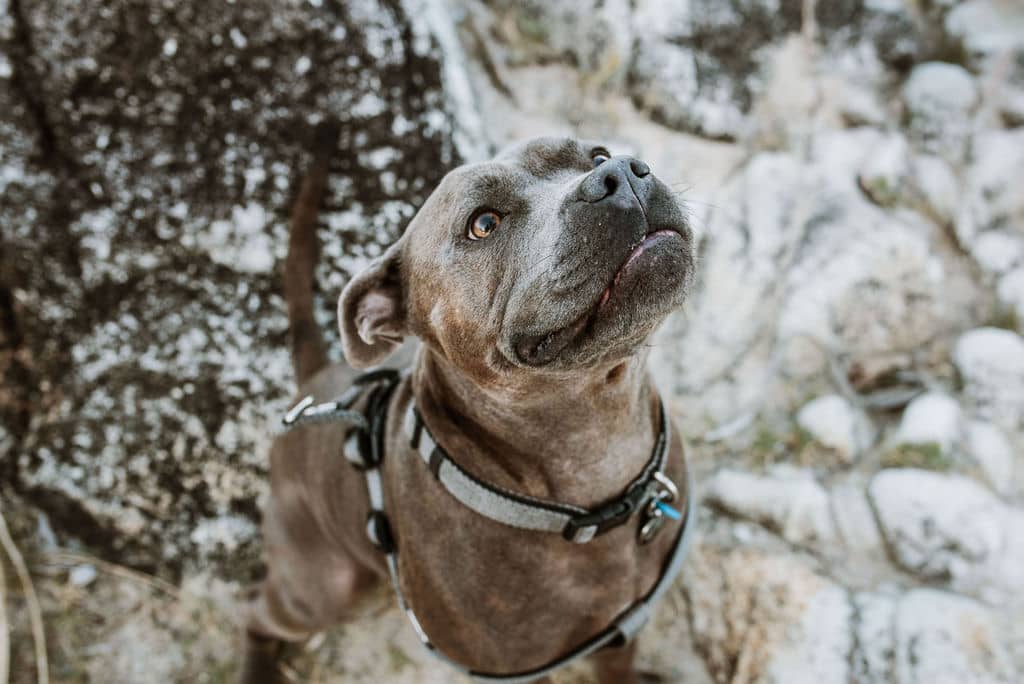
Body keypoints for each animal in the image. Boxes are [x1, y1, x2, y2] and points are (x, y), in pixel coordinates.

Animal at [240, 135, 700, 684]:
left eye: (596, 155)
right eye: (483, 223)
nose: (620, 176)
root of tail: (315, 381)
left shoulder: (620, 633)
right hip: (325, 587)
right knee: (255, 612)